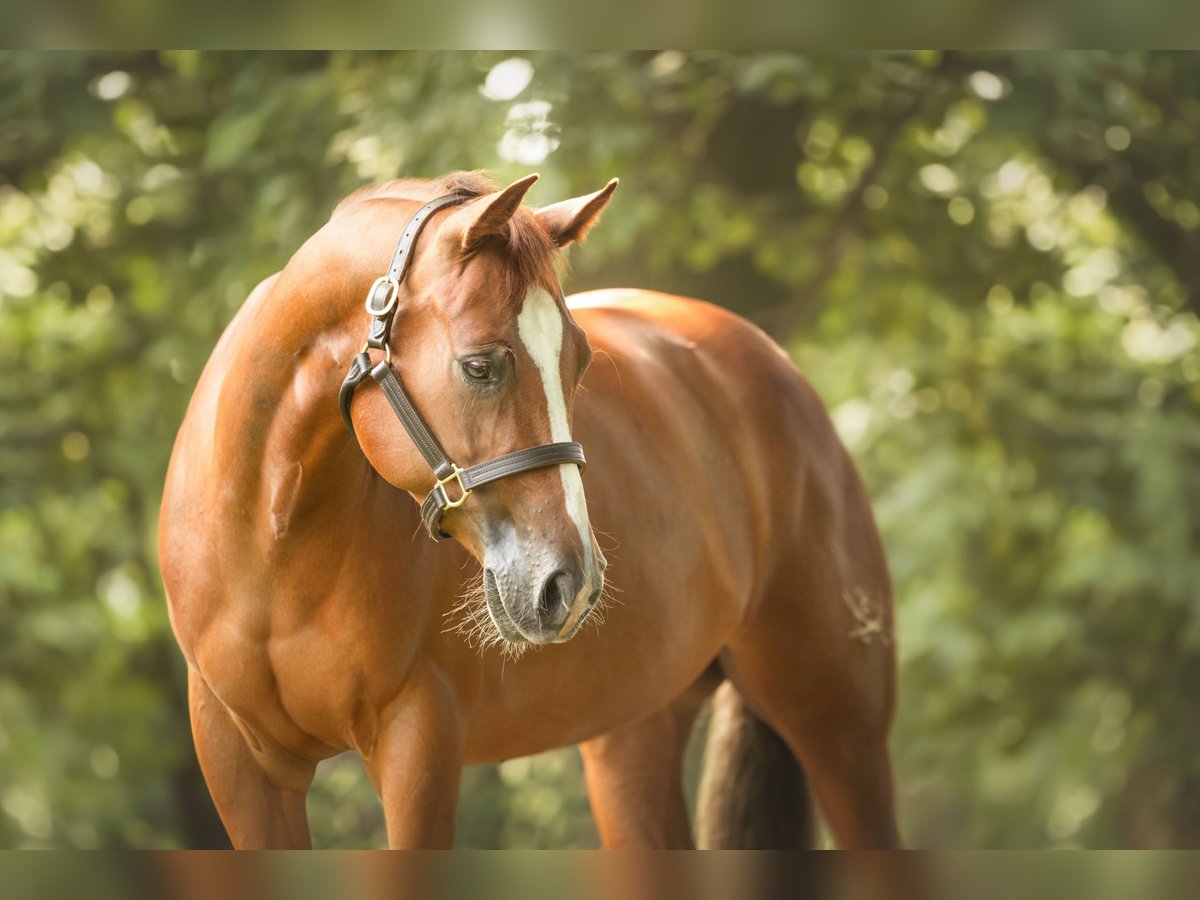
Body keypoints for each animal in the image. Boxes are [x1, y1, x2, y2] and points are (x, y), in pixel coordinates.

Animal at [157, 170, 902, 854]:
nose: (571, 584)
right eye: (480, 366)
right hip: (633, 735)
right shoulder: (243, 768)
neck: (272, 542)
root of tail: (771, 364)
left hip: (839, 726)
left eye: (580, 362)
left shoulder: (417, 745)